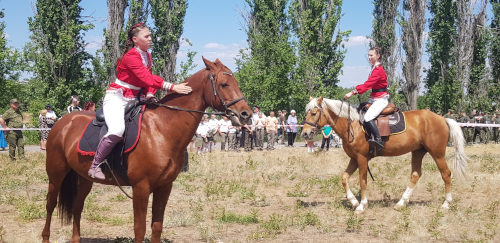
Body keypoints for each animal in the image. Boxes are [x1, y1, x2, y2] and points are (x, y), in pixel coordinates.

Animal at [41, 58, 252, 242]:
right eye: (224, 84)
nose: (246, 115)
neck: (162, 129)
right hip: (56, 174)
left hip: (84, 178)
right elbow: (140, 228)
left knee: (77, 207)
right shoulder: (141, 187)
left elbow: (156, 226)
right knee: (50, 205)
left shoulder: (164, 187)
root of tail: (62, 123)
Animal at [300, 98, 468, 214]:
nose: (305, 133)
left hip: (437, 154)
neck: (353, 125)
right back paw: (401, 203)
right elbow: (344, 178)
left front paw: (361, 205)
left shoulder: (361, 158)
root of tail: (442, 118)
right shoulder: (354, 158)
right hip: (418, 152)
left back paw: (446, 203)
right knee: (415, 175)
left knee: (446, 174)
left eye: (314, 113)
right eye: (306, 112)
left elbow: (362, 181)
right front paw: (354, 202)